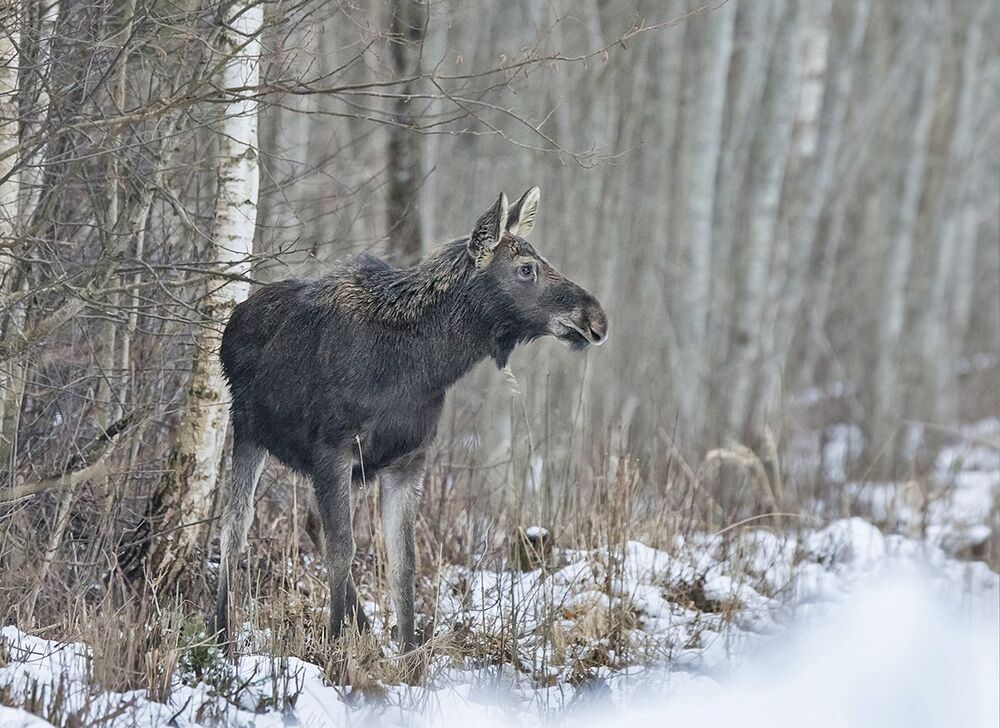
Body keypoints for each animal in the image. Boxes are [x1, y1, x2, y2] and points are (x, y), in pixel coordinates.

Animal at [214, 188, 607, 652]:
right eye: (526, 268)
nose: (596, 317)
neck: (420, 370)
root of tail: (233, 319)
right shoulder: (333, 448)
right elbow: (343, 551)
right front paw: (334, 649)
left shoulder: (408, 459)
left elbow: (403, 564)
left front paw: (407, 651)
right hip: (247, 428)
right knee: (234, 528)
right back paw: (222, 634)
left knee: (307, 521)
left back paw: (363, 628)